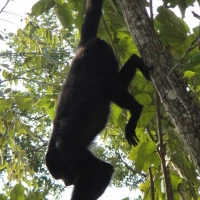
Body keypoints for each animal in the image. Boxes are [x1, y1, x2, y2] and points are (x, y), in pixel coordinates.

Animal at [45, 0, 152, 200]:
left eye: (61, 174)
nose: (67, 183)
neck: (55, 146)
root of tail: (84, 45)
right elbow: (106, 168)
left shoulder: (68, 149)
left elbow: (95, 167)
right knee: (115, 82)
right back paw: (136, 61)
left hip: (101, 55)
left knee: (108, 87)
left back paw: (136, 111)